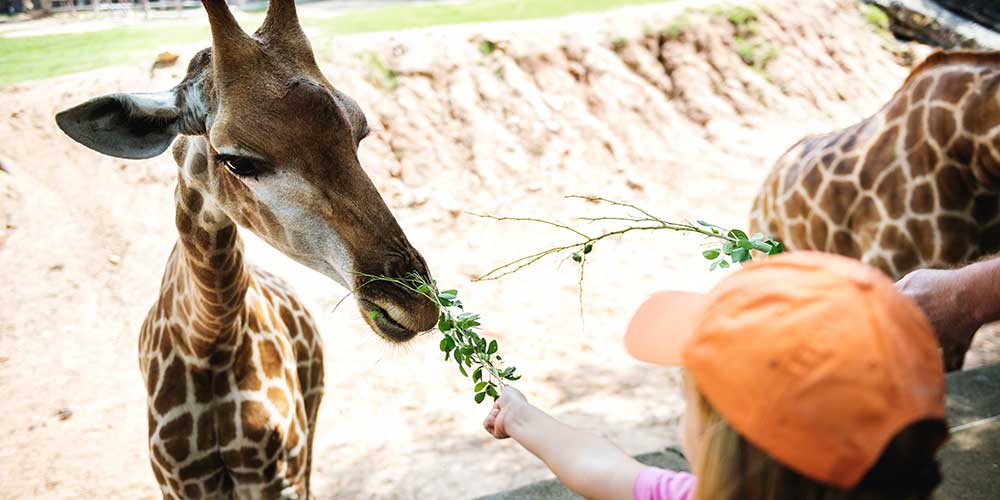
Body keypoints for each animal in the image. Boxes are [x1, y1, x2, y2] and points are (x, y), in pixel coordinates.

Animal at [53, 1, 438, 498]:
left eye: (359, 132)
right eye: (237, 160)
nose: (415, 303)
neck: (209, 339)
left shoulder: (280, 474)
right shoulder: (181, 483)